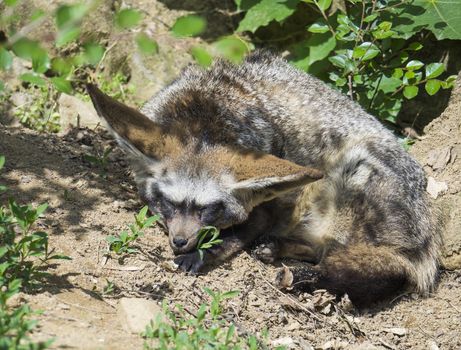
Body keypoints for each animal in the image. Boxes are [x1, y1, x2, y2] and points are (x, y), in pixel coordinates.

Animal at [87, 50, 442, 308]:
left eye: (209, 209)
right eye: (168, 202)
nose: (180, 242)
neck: (205, 109)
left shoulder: (270, 202)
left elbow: (235, 236)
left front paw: (201, 255)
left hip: (351, 170)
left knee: (354, 261)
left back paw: (301, 272)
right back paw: (278, 248)